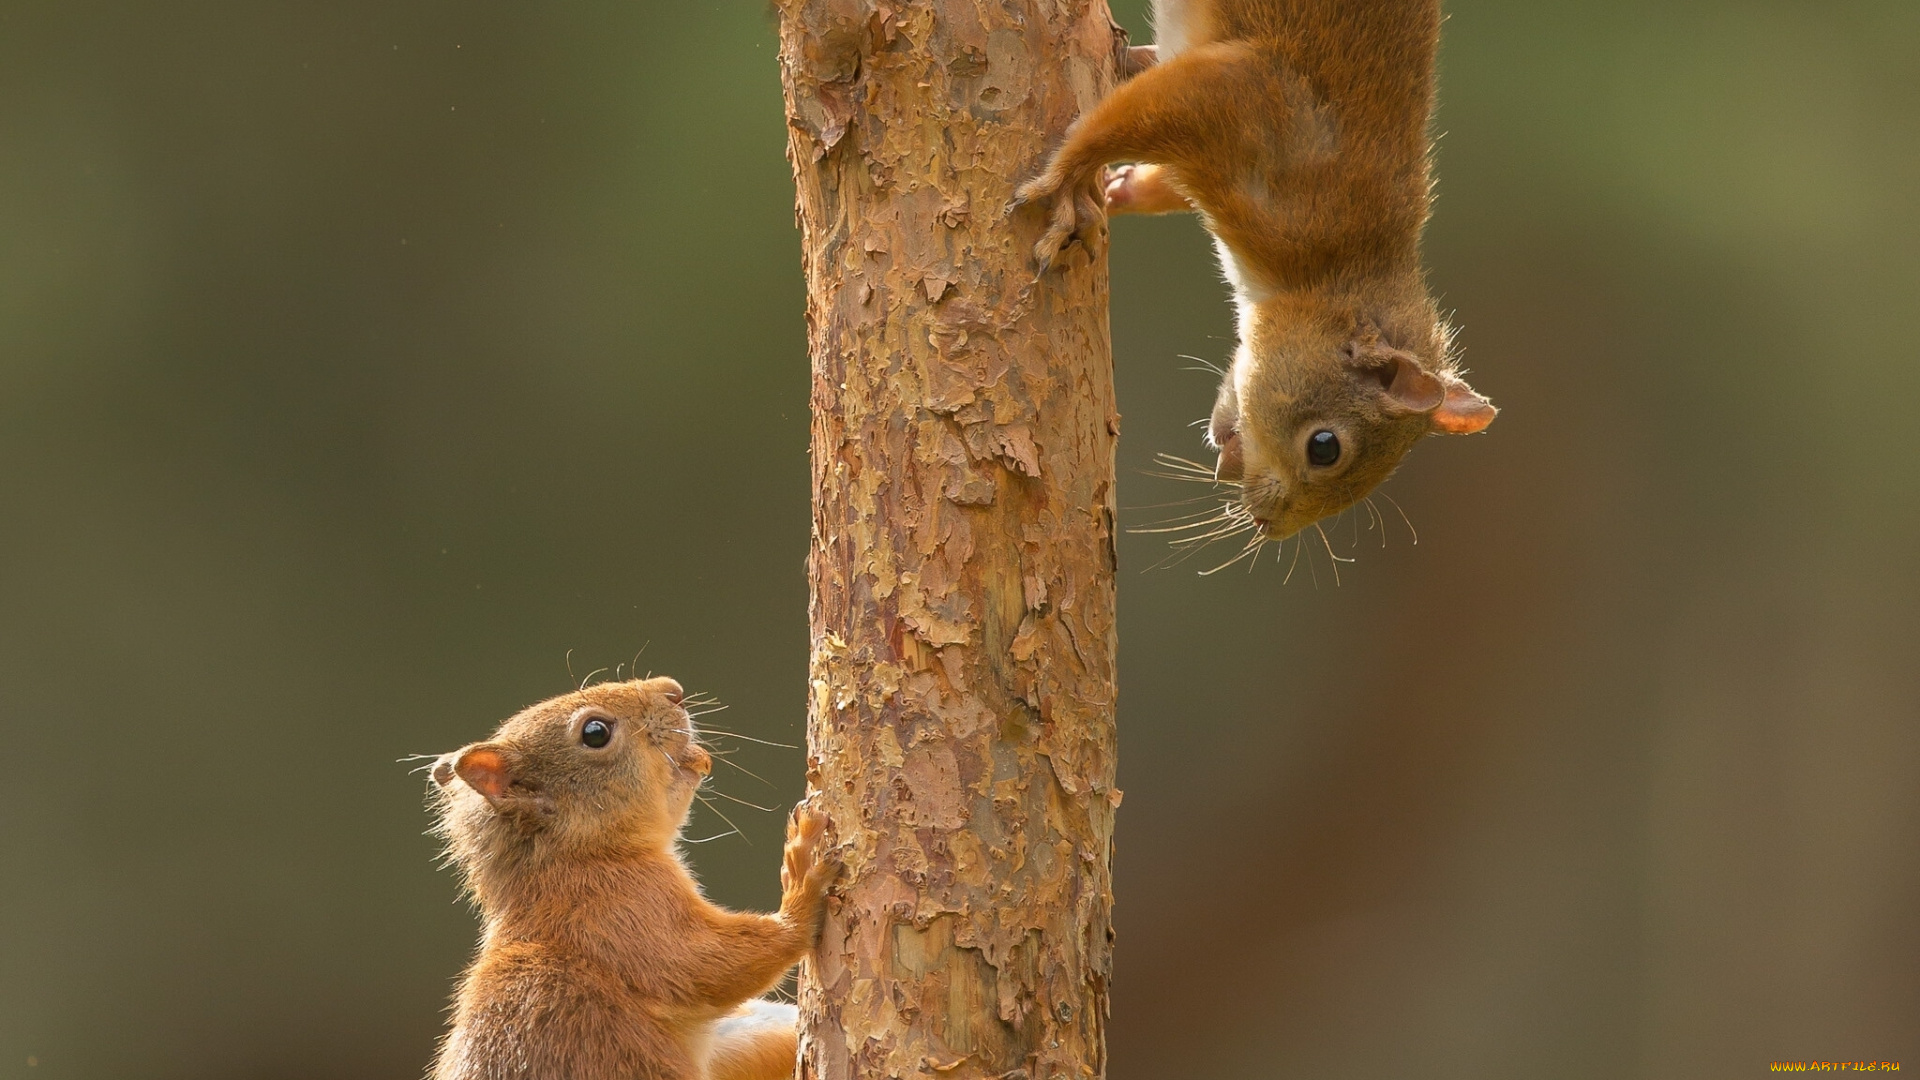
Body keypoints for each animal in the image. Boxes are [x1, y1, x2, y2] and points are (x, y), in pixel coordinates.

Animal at [428, 672, 833, 1076]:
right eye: (595, 733)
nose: (673, 691)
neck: (579, 858)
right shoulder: (623, 913)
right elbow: (706, 965)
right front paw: (802, 878)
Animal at [1021, 0, 1497, 541]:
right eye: (1324, 447)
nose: (1268, 525)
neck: (1332, 275)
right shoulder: (1253, 109)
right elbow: (1122, 122)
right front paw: (1068, 179)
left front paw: (1122, 190)